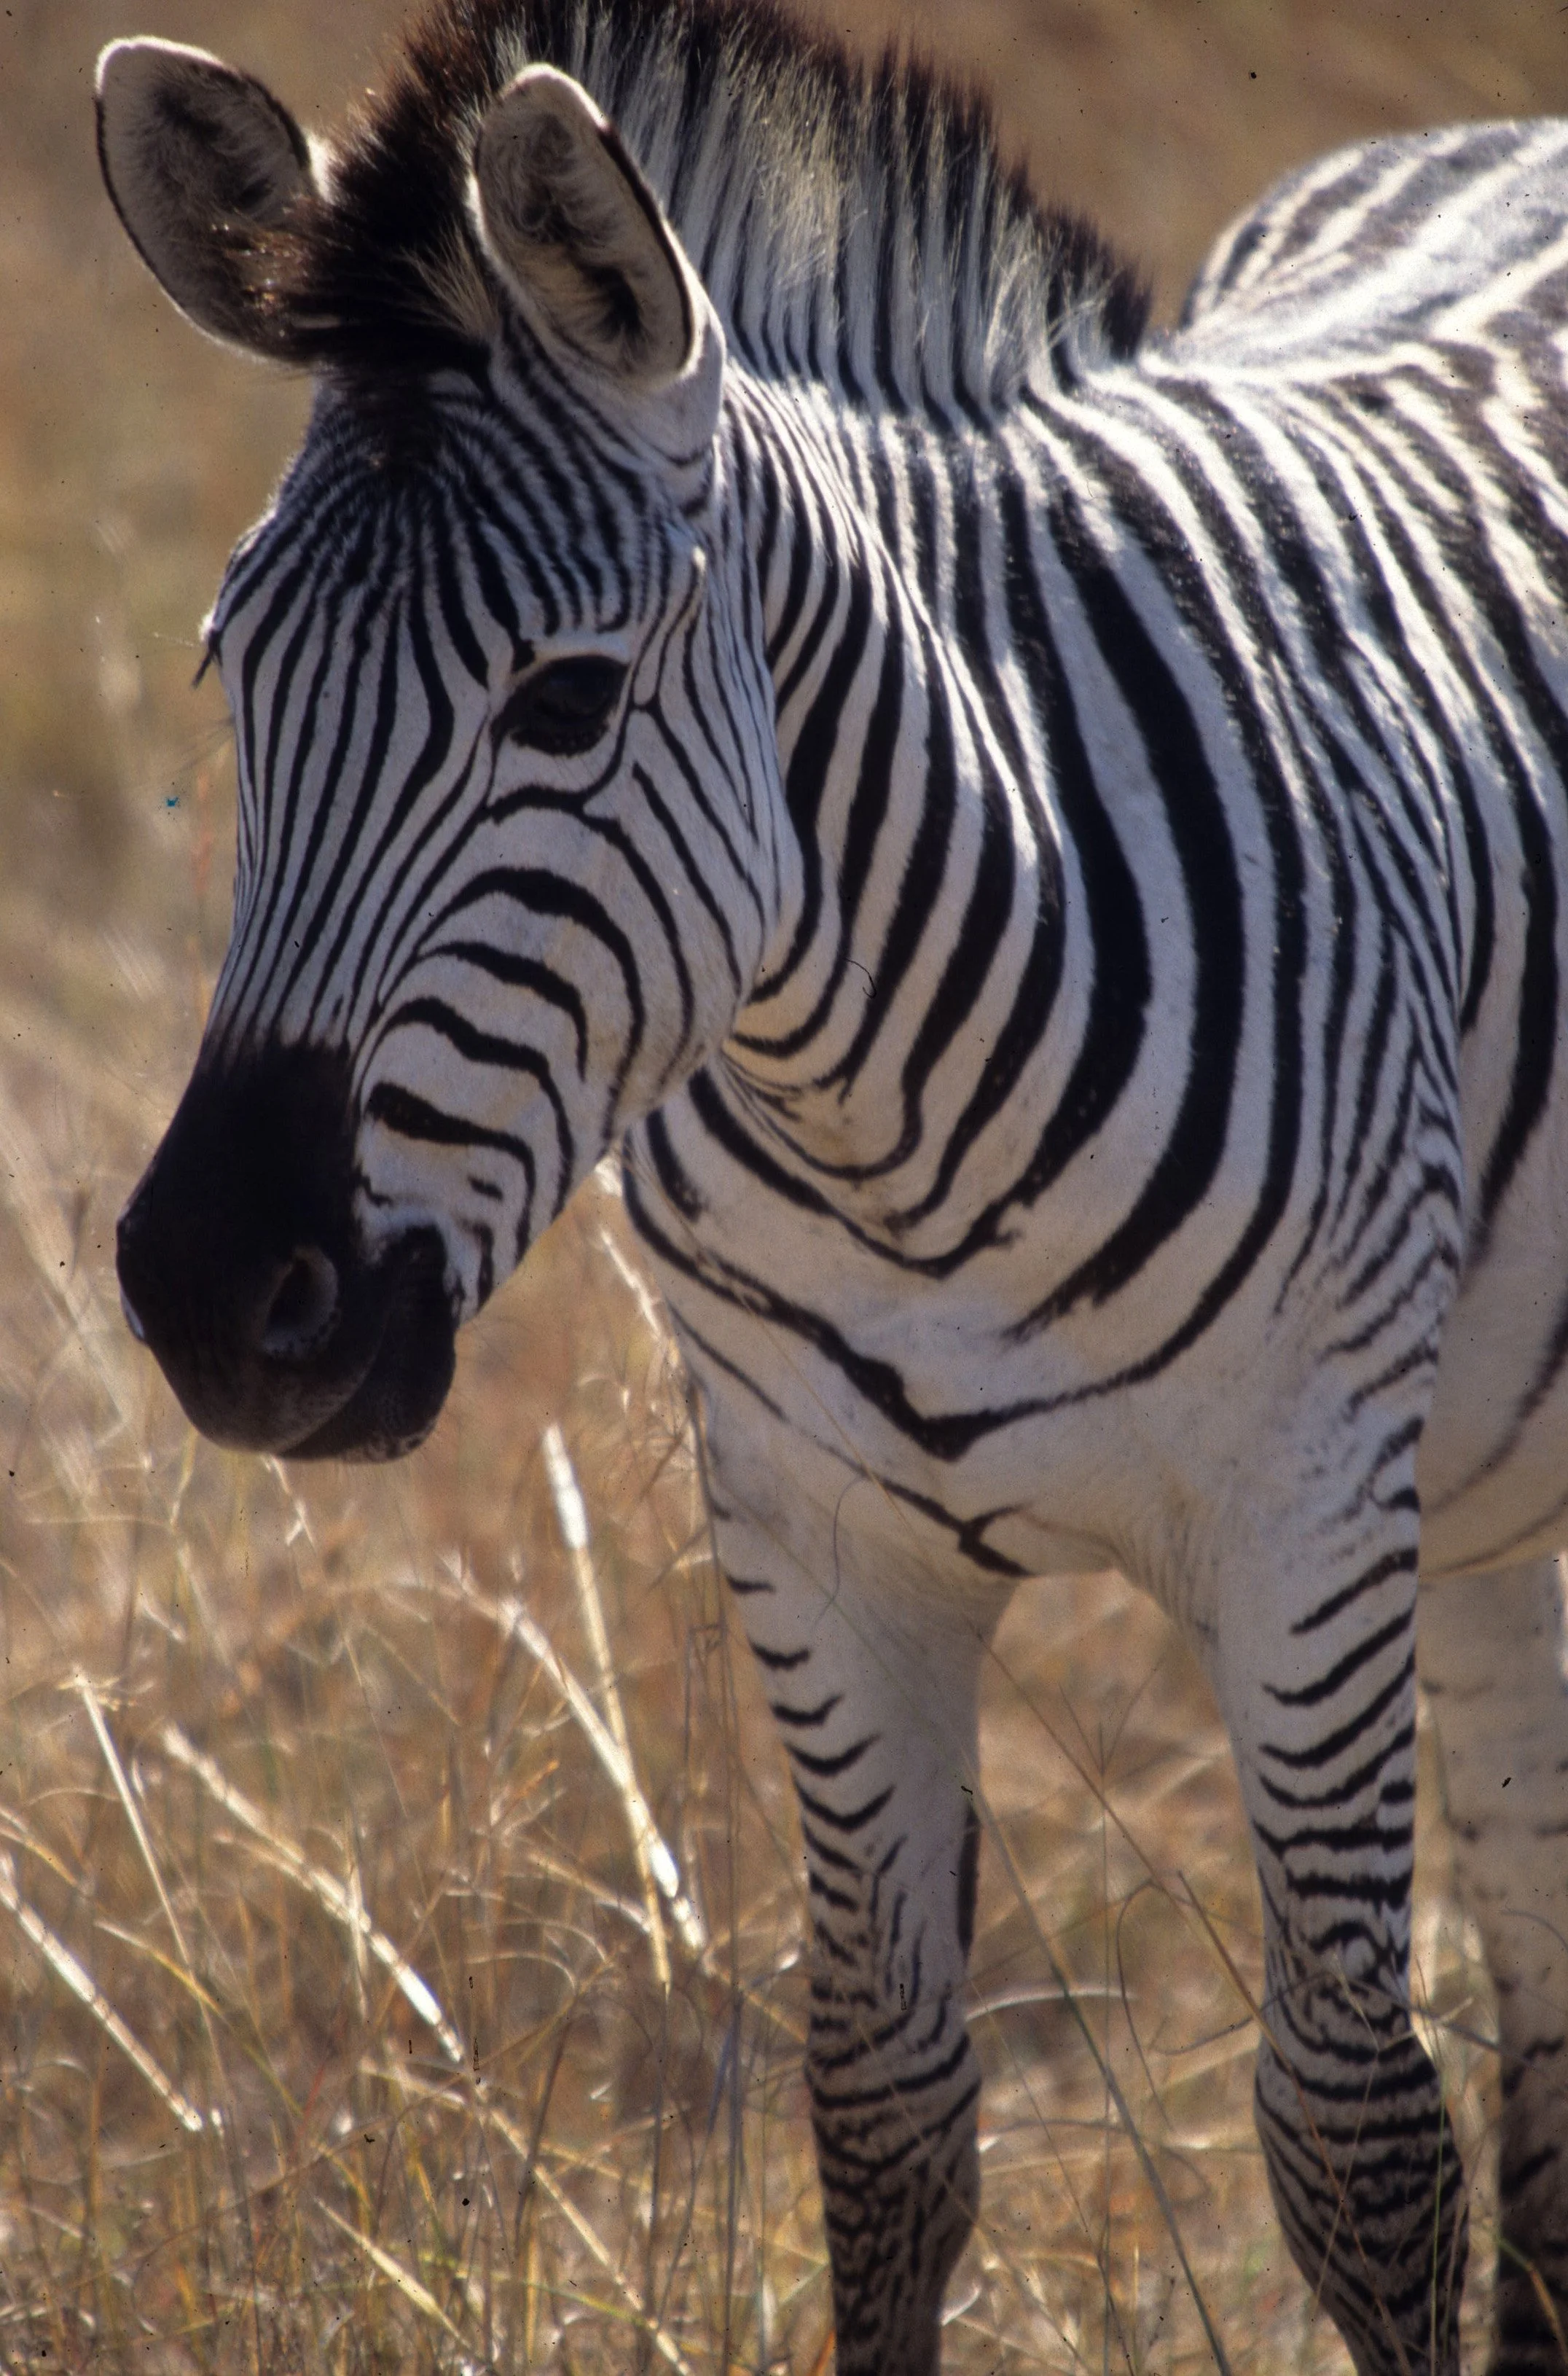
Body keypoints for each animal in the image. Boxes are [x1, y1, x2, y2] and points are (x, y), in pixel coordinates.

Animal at [96, 0, 1568, 2365]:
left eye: (567, 702)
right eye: (240, 677)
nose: (218, 1294)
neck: (891, 1119)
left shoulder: (1311, 1510)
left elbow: (1357, 2136)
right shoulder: (812, 1537)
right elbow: (880, 2118)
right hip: (1483, 1476)